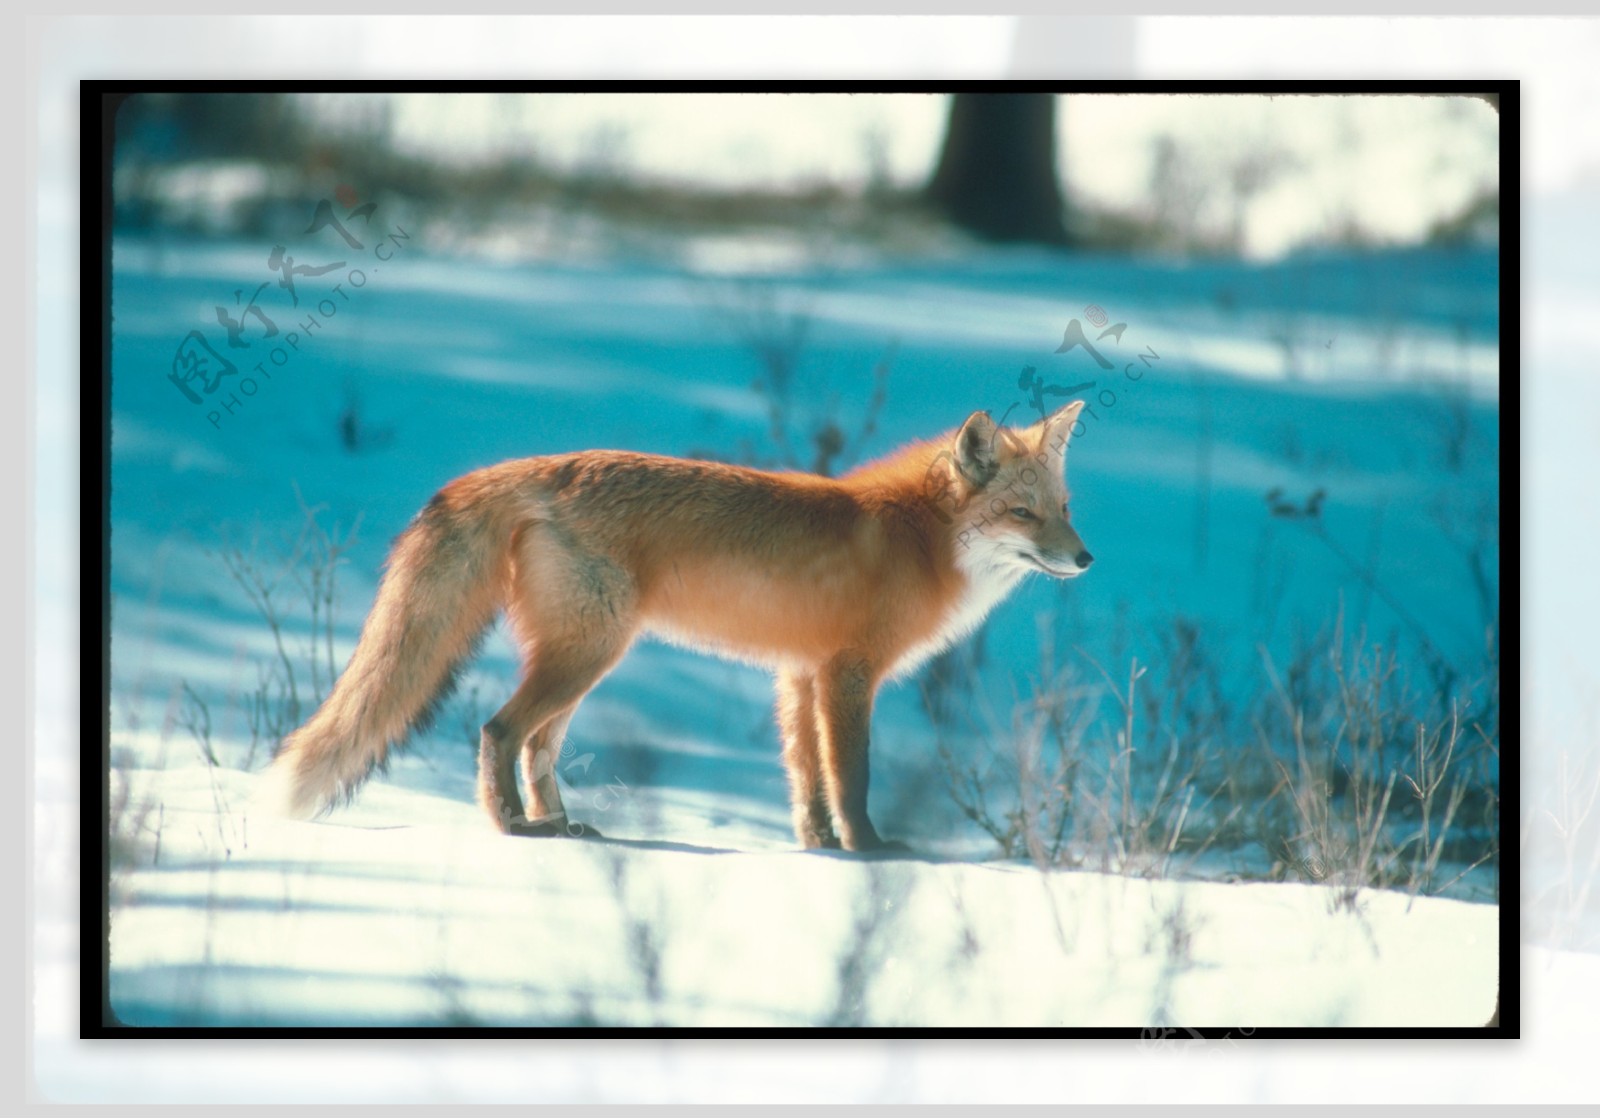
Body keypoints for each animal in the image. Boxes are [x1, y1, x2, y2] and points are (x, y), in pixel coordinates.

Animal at [265, 403, 1088, 851]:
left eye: (1064, 508)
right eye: (1023, 514)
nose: (1085, 558)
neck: (918, 537)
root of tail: (535, 466)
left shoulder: (800, 674)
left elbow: (807, 780)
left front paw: (820, 848)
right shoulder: (848, 674)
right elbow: (850, 777)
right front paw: (871, 851)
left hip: (582, 661)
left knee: (535, 746)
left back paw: (560, 824)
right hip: (589, 652)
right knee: (499, 731)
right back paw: (515, 829)